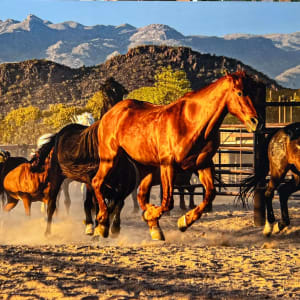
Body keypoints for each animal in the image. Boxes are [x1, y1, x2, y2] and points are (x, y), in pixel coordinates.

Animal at [92, 69, 258, 239]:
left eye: (255, 91)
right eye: (239, 92)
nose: (255, 121)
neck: (192, 122)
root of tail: (110, 114)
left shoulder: (202, 164)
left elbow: (210, 193)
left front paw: (183, 221)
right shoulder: (168, 165)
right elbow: (168, 202)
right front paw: (159, 216)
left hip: (145, 168)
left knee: (139, 195)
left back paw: (153, 226)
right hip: (109, 159)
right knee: (97, 183)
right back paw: (102, 223)